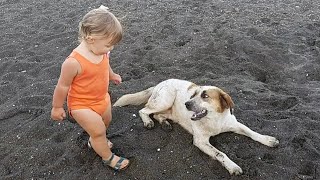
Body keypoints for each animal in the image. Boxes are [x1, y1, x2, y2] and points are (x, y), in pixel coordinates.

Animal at [114, 79, 278, 176]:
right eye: (194, 95)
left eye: (205, 96)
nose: (186, 103)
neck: (214, 120)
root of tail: (159, 83)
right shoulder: (201, 141)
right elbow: (220, 154)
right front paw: (233, 166)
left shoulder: (234, 124)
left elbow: (251, 132)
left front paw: (268, 140)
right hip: (165, 100)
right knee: (144, 110)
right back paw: (148, 121)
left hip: (170, 110)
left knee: (158, 115)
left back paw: (165, 124)